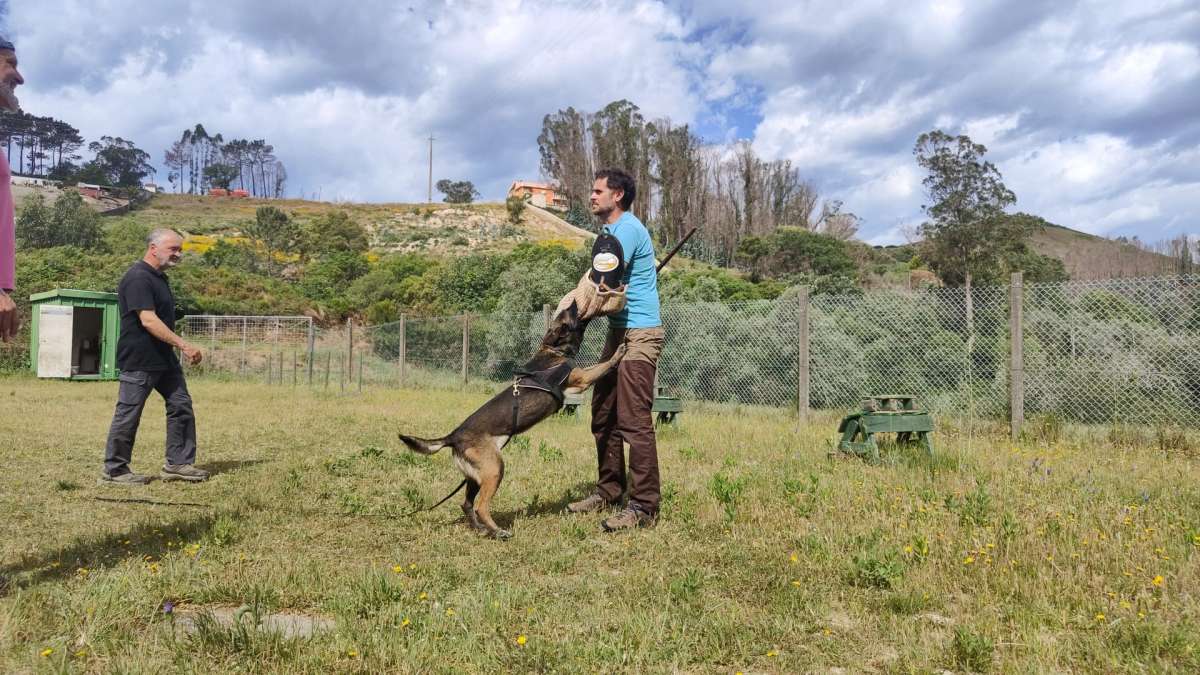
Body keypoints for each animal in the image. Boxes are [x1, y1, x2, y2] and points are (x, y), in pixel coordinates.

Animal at [403, 302, 628, 538]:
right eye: (567, 315)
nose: (574, 302)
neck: (553, 350)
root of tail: (453, 437)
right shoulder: (583, 379)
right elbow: (603, 365)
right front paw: (618, 352)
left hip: (475, 476)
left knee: (466, 504)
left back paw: (481, 529)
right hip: (494, 469)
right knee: (480, 506)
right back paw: (498, 531)